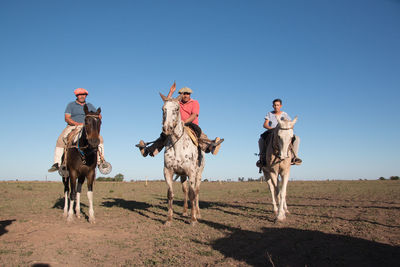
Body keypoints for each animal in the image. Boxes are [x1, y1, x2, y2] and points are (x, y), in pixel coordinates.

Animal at [159, 93, 205, 226]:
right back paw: (185, 212)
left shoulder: (191, 172)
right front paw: (169, 220)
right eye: (163, 109)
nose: (167, 128)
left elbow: (192, 194)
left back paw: (197, 213)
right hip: (183, 175)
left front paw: (193, 219)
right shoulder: (168, 171)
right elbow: (170, 194)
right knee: (185, 190)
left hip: (198, 174)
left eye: (176, 109)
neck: (177, 146)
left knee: (196, 191)